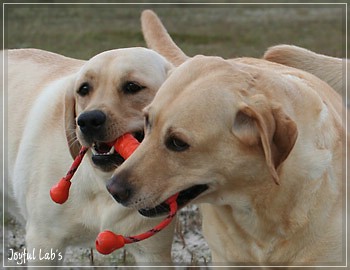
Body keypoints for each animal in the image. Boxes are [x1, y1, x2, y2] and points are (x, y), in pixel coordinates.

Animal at [3, 48, 175, 266]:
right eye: (84, 89)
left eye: (132, 86)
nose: (88, 120)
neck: (102, 182)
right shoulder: (43, 242)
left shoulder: (153, 253)